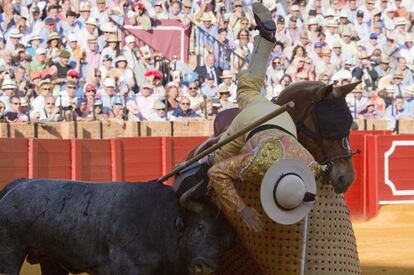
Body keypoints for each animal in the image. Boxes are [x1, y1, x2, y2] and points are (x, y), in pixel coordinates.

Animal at [0, 180, 234, 274]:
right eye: (201, 226)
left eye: (227, 243)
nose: (205, 267)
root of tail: (19, 183)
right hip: (10, 255)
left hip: (51, 261)